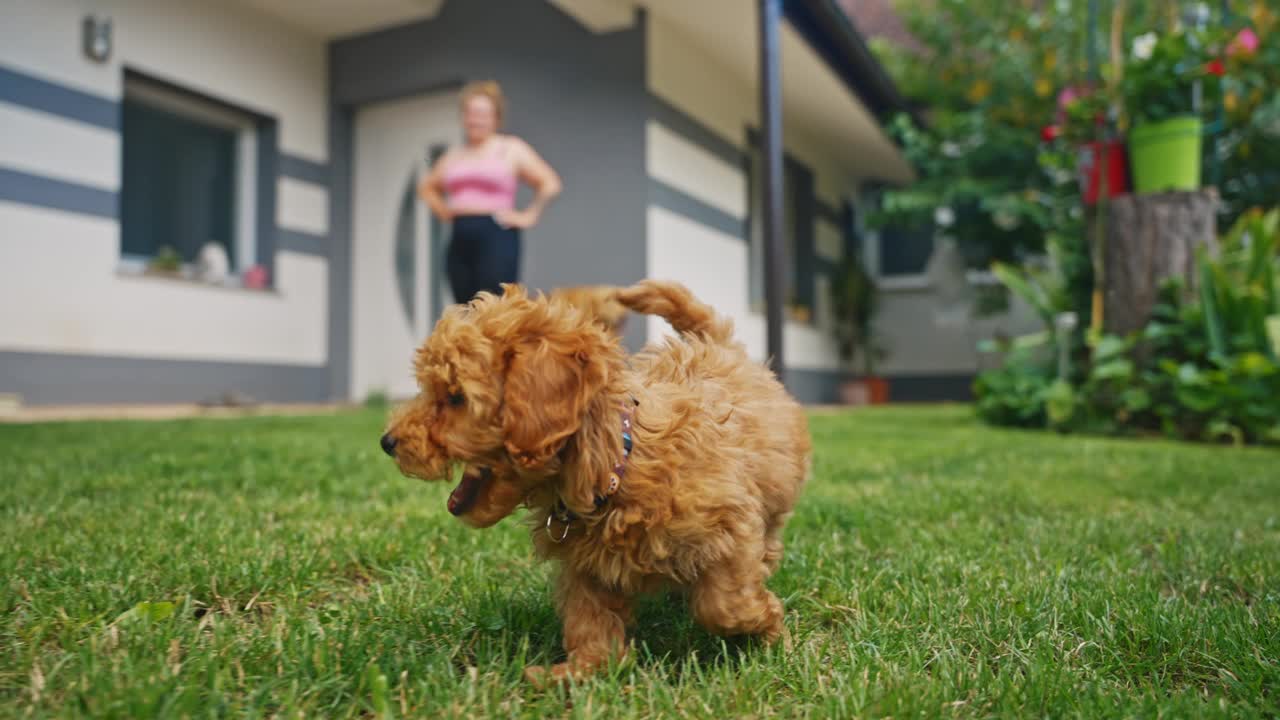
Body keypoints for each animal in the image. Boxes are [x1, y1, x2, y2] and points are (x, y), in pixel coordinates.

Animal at [378, 278, 808, 681]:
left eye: (455, 398)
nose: (387, 442)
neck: (618, 464)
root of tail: (716, 344)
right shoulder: (586, 567)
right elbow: (589, 619)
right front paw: (579, 671)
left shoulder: (730, 524)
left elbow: (724, 605)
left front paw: (773, 633)